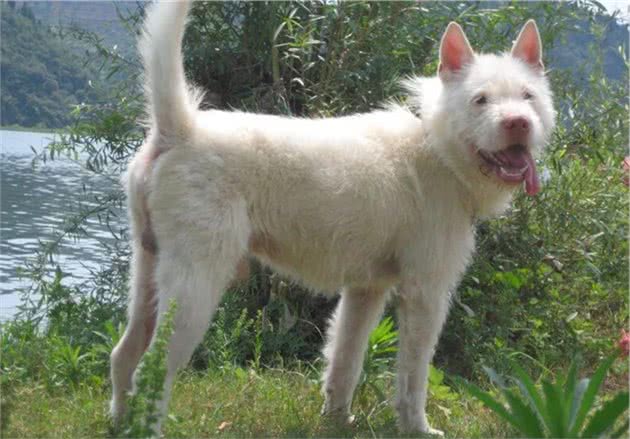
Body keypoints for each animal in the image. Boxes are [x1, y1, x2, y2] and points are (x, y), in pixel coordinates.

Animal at [110, 1, 555, 435]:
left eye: (528, 96)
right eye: (480, 100)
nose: (518, 123)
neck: (436, 144)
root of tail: (178, 131)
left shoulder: (365, 291)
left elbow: (345, 361)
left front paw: (337, 420)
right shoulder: (425, 293)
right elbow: (413, 376)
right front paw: (417, 428)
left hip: (148, 276)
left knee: (123, 356)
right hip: (195, 289)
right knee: (151, 371)